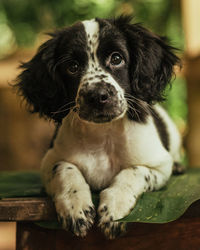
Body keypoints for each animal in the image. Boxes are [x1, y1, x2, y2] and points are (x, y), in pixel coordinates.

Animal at [15, 16, 181, 239]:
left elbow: (134, 171)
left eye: (117, 58)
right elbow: (65, 168)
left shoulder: (159, 166)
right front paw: (75, 206)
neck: (104, 134)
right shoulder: (49, 162)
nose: (97, 96)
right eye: (72, 66)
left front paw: (115, 207)